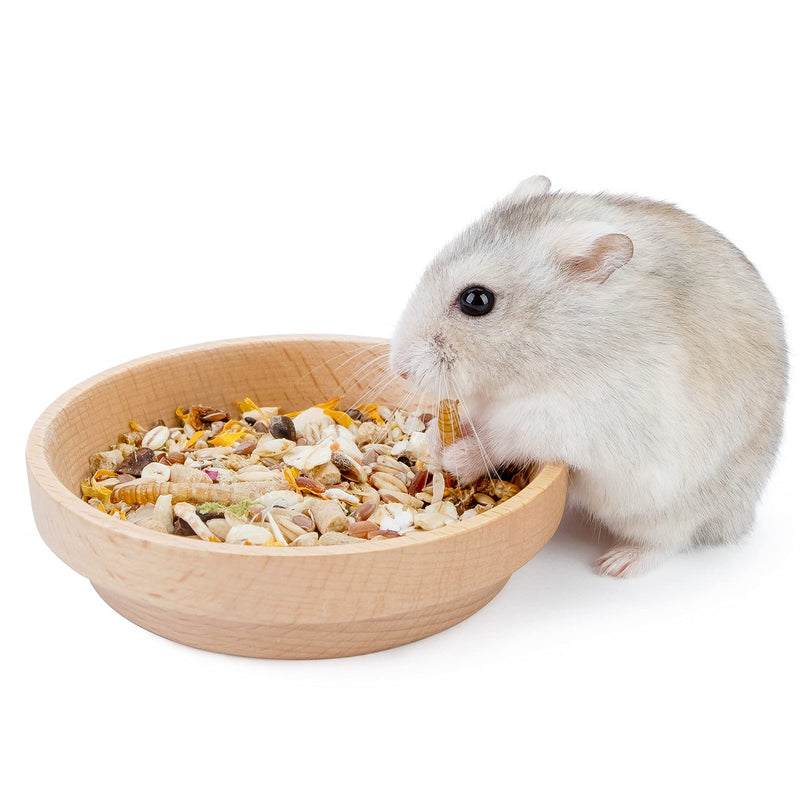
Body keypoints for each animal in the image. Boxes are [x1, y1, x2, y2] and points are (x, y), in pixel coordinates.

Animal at [390, 176, 788, 577]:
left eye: (477, 300)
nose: (399, 370)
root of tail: (740, 518)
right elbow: (467, 416)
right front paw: (433, 440)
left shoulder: (570, 418)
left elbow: (505, 439)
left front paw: (456, 458)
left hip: (674, 508)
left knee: (669, 541)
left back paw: (616, 564)